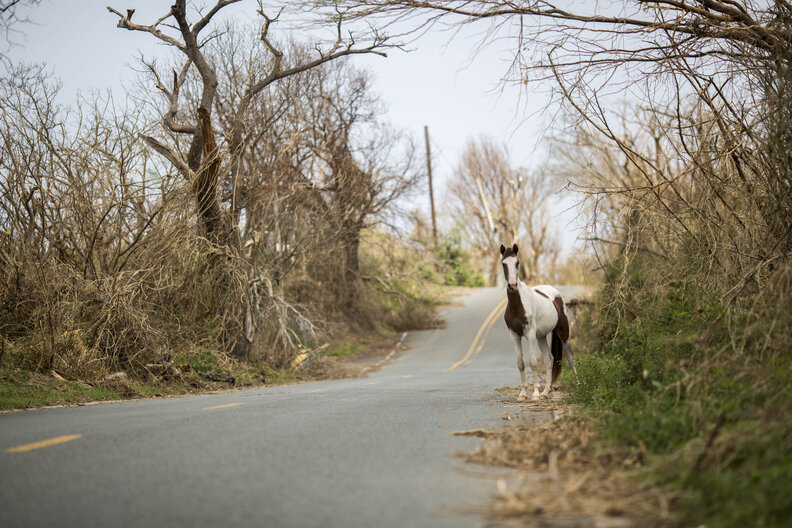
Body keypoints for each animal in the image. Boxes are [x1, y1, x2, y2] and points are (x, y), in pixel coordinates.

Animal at [500, 243, 579, 401]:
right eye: (504, 263)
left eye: (517, 262)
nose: (512, 284)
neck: (518, 305)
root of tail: (555, 294)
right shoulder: (514, 335)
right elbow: (520, 363)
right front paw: (523, 394)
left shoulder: (530, 334)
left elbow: (533, 363)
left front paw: (535, 394)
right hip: (541, 336)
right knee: (549, 359)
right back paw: (545, 392)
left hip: (563, 332)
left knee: (570, 357)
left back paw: (580, 385)